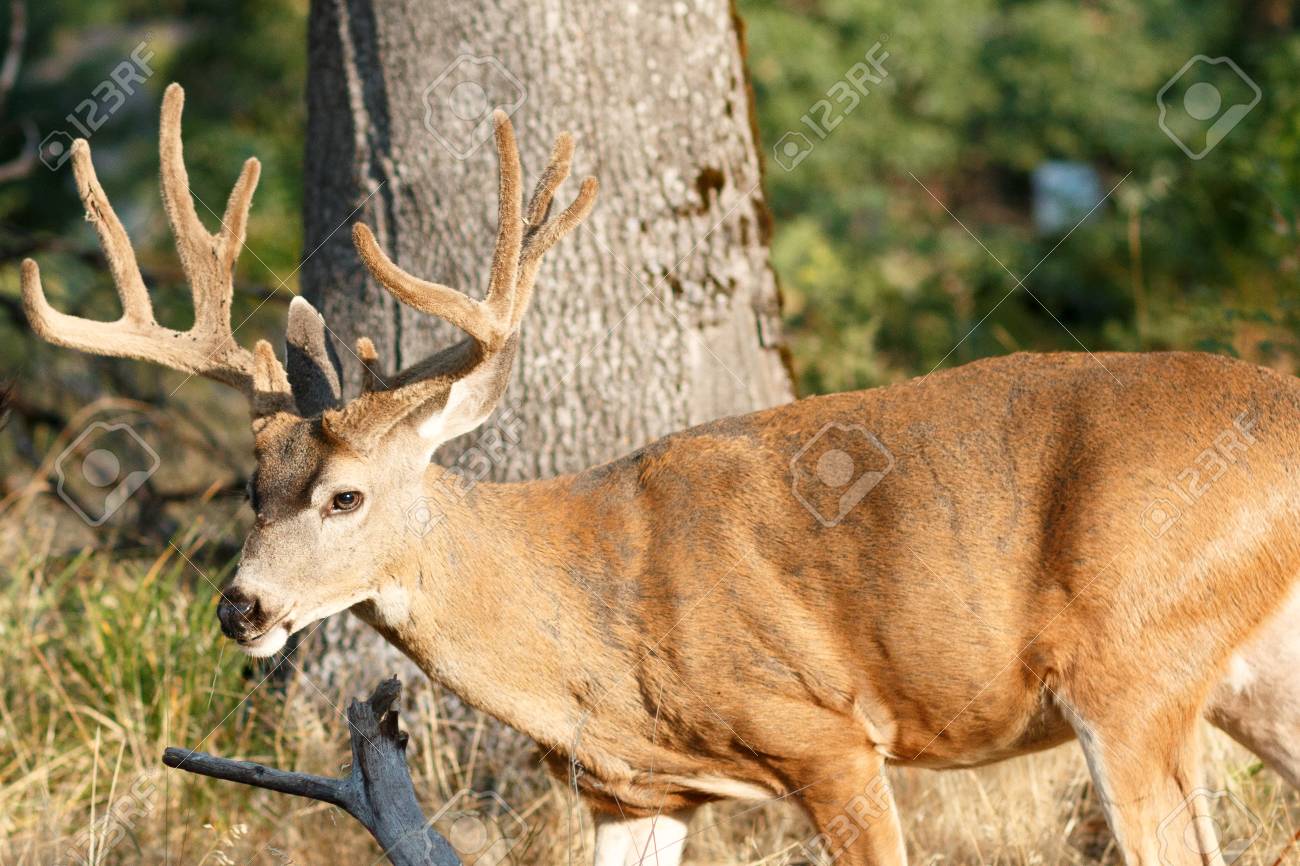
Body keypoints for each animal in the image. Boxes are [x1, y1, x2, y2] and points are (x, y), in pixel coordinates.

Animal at [20, 80, 1300, 863]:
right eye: (252, 486)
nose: (242, 606)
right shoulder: (633, 788)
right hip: (1246, 672)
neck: (587, 631)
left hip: (1128, 660)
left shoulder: (825, 731)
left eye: (347, 494)